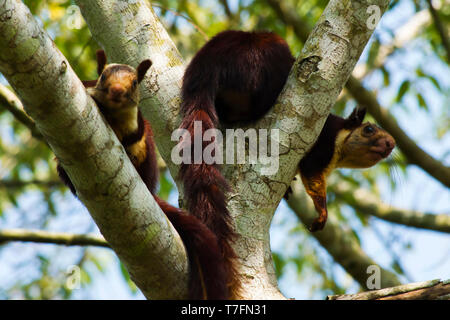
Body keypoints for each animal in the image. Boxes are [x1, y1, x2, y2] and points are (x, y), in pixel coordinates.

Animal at [56, 50, 230, 300]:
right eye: (103, 76)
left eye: (134, 83)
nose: (117, 91)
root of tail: (149, 187)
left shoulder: (136, 132)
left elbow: (133, 143)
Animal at [179, 30, 394, 260]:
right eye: (369, 129)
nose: (391, 143)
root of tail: (207, 64)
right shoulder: (322, 147)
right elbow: (313, 176)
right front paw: (322, 212)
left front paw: (291, 188)